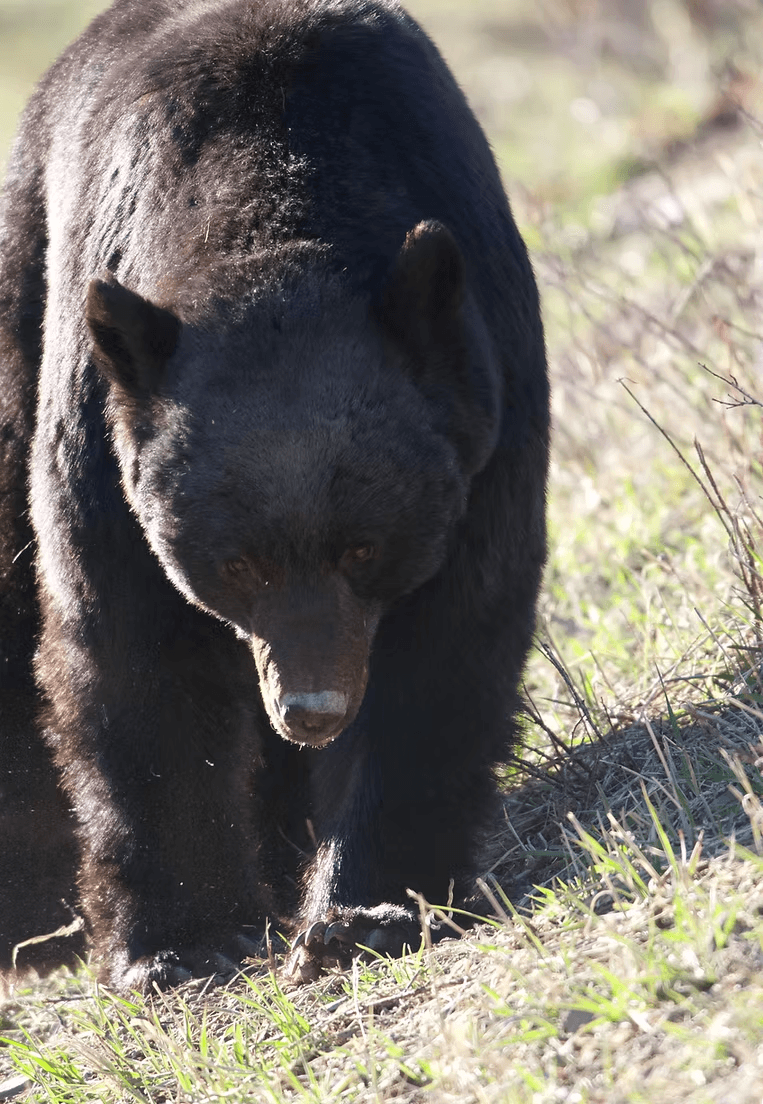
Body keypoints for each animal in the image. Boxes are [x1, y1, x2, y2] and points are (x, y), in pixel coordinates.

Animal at [0, 0, 549, 991]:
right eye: (238, 564)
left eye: (364, 547)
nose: (310, 711)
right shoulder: (103, 449)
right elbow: (133, 648)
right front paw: (180, 942)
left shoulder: (485, 420)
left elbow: (444, 644)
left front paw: (365, 913)